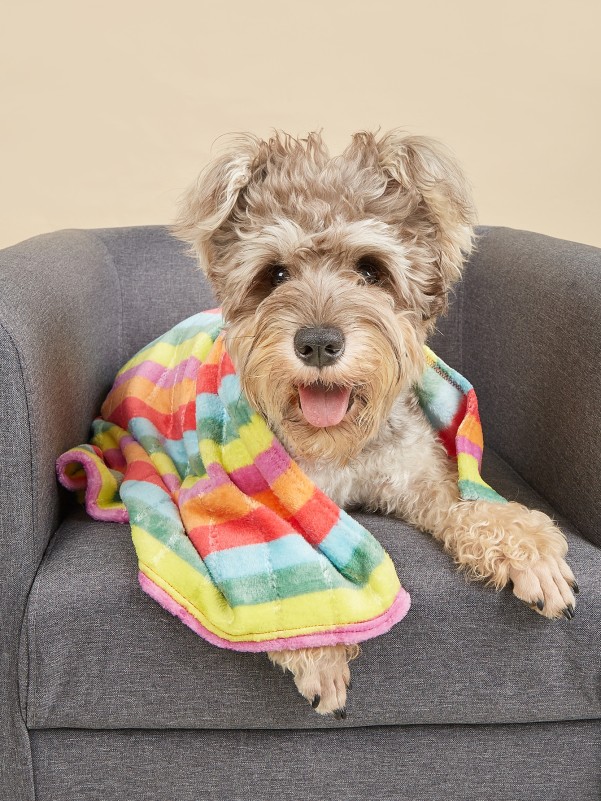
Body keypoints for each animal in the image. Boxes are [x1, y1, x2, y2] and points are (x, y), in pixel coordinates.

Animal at [172, 131, 576, 720]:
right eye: (274, 274)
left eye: (370, 269)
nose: (318, 343)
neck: (340, 446)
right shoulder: (263, 505)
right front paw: (318, 651)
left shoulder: (421, 476)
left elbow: (470, 506)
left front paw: (530, 551)